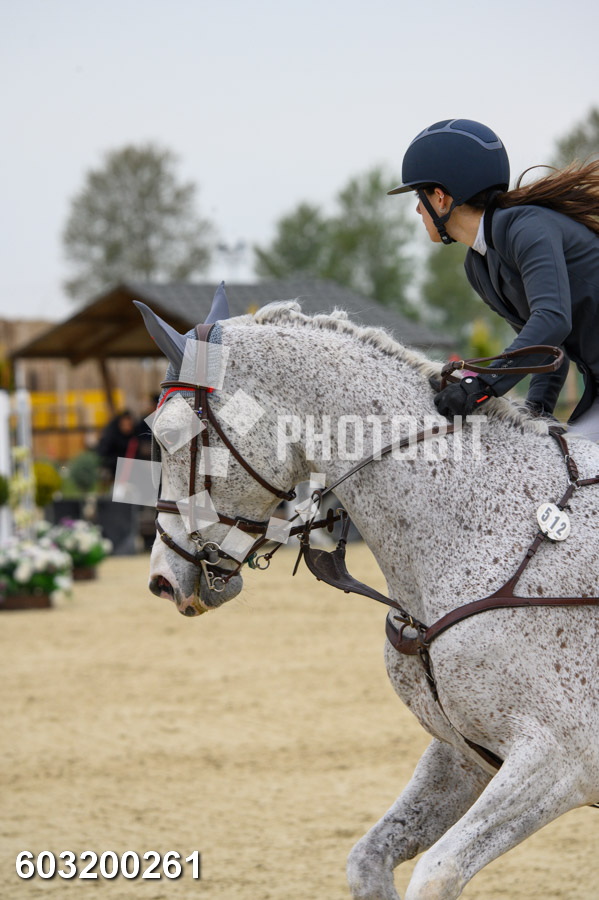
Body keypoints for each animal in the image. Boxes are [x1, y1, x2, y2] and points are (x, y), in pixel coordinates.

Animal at [135, 288, 599, 900]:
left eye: (169, 435)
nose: (163, 581)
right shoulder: (467, 754)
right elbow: (368, 859)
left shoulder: (559, 759)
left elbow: (437, 872)